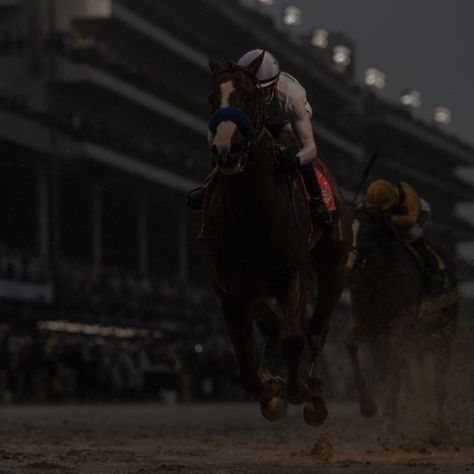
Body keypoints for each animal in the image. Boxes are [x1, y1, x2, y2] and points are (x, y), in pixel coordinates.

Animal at [204, 52, 352, 426]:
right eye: (212, 98)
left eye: (249, 97)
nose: (225, 148)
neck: (251, 212)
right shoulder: (228, 286)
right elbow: (245, 361)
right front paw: (271, 386)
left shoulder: (294, 272)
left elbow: (295, 336)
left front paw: (299, 392)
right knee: (272, 326)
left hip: (333, 267)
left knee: (316, 328)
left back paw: (315, 390)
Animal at [344, 207, 460, 434]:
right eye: (346, 230)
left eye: (368, 232)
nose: (350, 267)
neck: (379, 274)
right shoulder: (368, 320)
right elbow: (352, 344)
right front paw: (369, 407)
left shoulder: (402, 320)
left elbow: (396, 360)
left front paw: (390, 416)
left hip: (442, 333)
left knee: (439, 380)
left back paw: (440, 423)